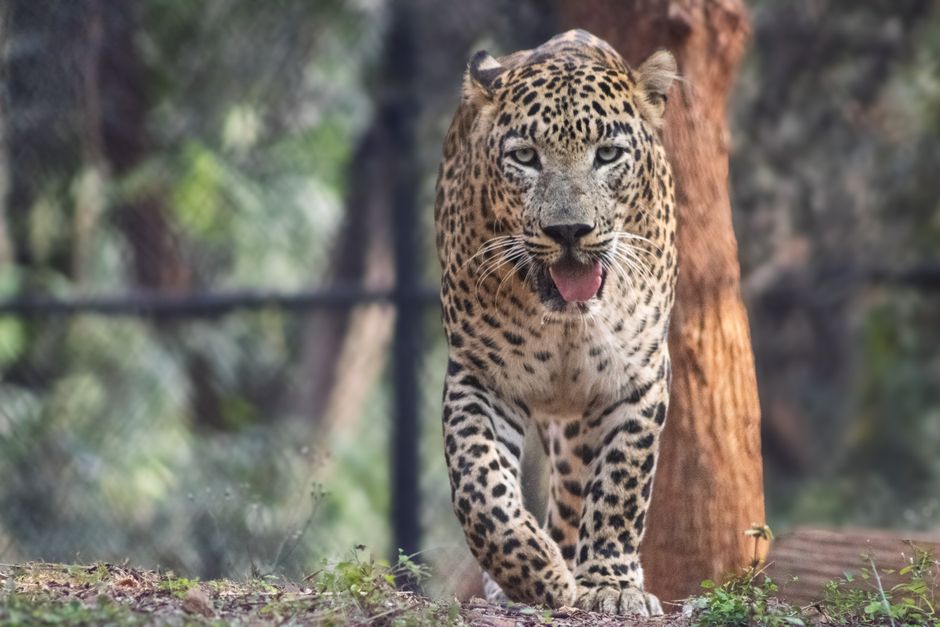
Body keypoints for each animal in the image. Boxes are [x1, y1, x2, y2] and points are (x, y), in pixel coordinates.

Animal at [434, 29, 678, 617]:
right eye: (525, 157)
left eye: (607, 154)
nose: (569, 231)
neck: (566, 323)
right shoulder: (480, 375)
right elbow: (479, 484)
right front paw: (534, 573)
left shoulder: (639, 379)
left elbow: (621, 484)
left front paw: (612, 586)